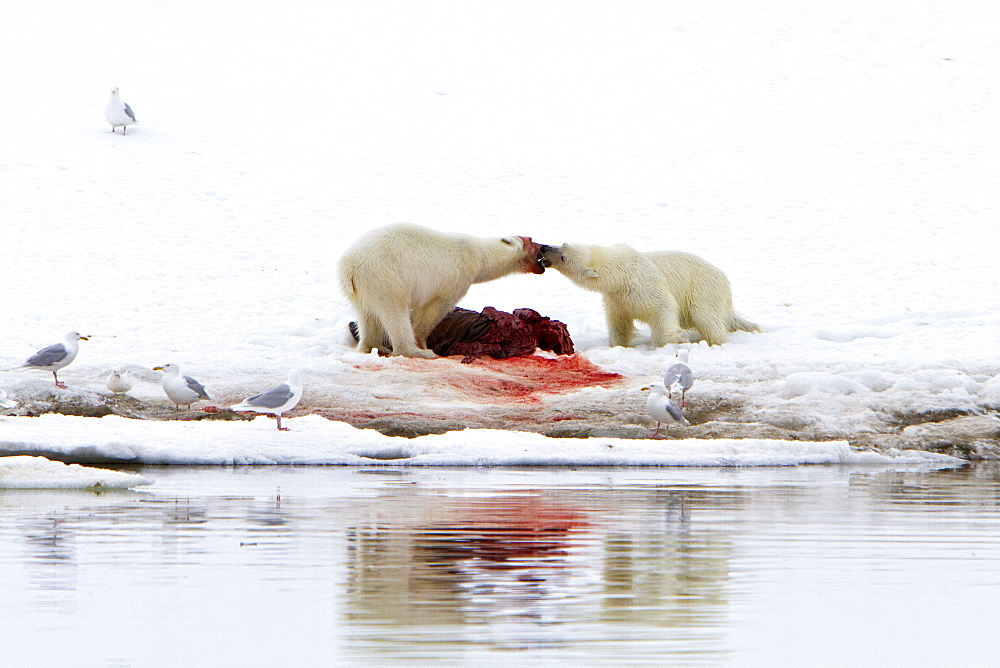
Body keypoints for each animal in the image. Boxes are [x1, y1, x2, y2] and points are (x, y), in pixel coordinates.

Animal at [338, 223, 544, 360]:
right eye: (531, 240)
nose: (544, 246)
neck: (479, 255)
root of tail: (349, 266)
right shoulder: (456, 278)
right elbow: (434, 310)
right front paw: (423, 343)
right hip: (386, 278)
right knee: (395, 314)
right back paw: (417, 352)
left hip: (363, 287)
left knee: (367, 315)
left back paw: (373, 346)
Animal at [540, 244, 756, 350]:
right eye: (562, 243)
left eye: (563, 257)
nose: (543, 248)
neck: (620, 273)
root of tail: (725, 281)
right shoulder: (616, 298)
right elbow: (619, 322)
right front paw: (619, 344)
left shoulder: (642, 287)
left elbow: (664, 307)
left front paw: (678, 338)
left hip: (704, 289)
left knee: (706, 316)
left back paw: (716, 341)